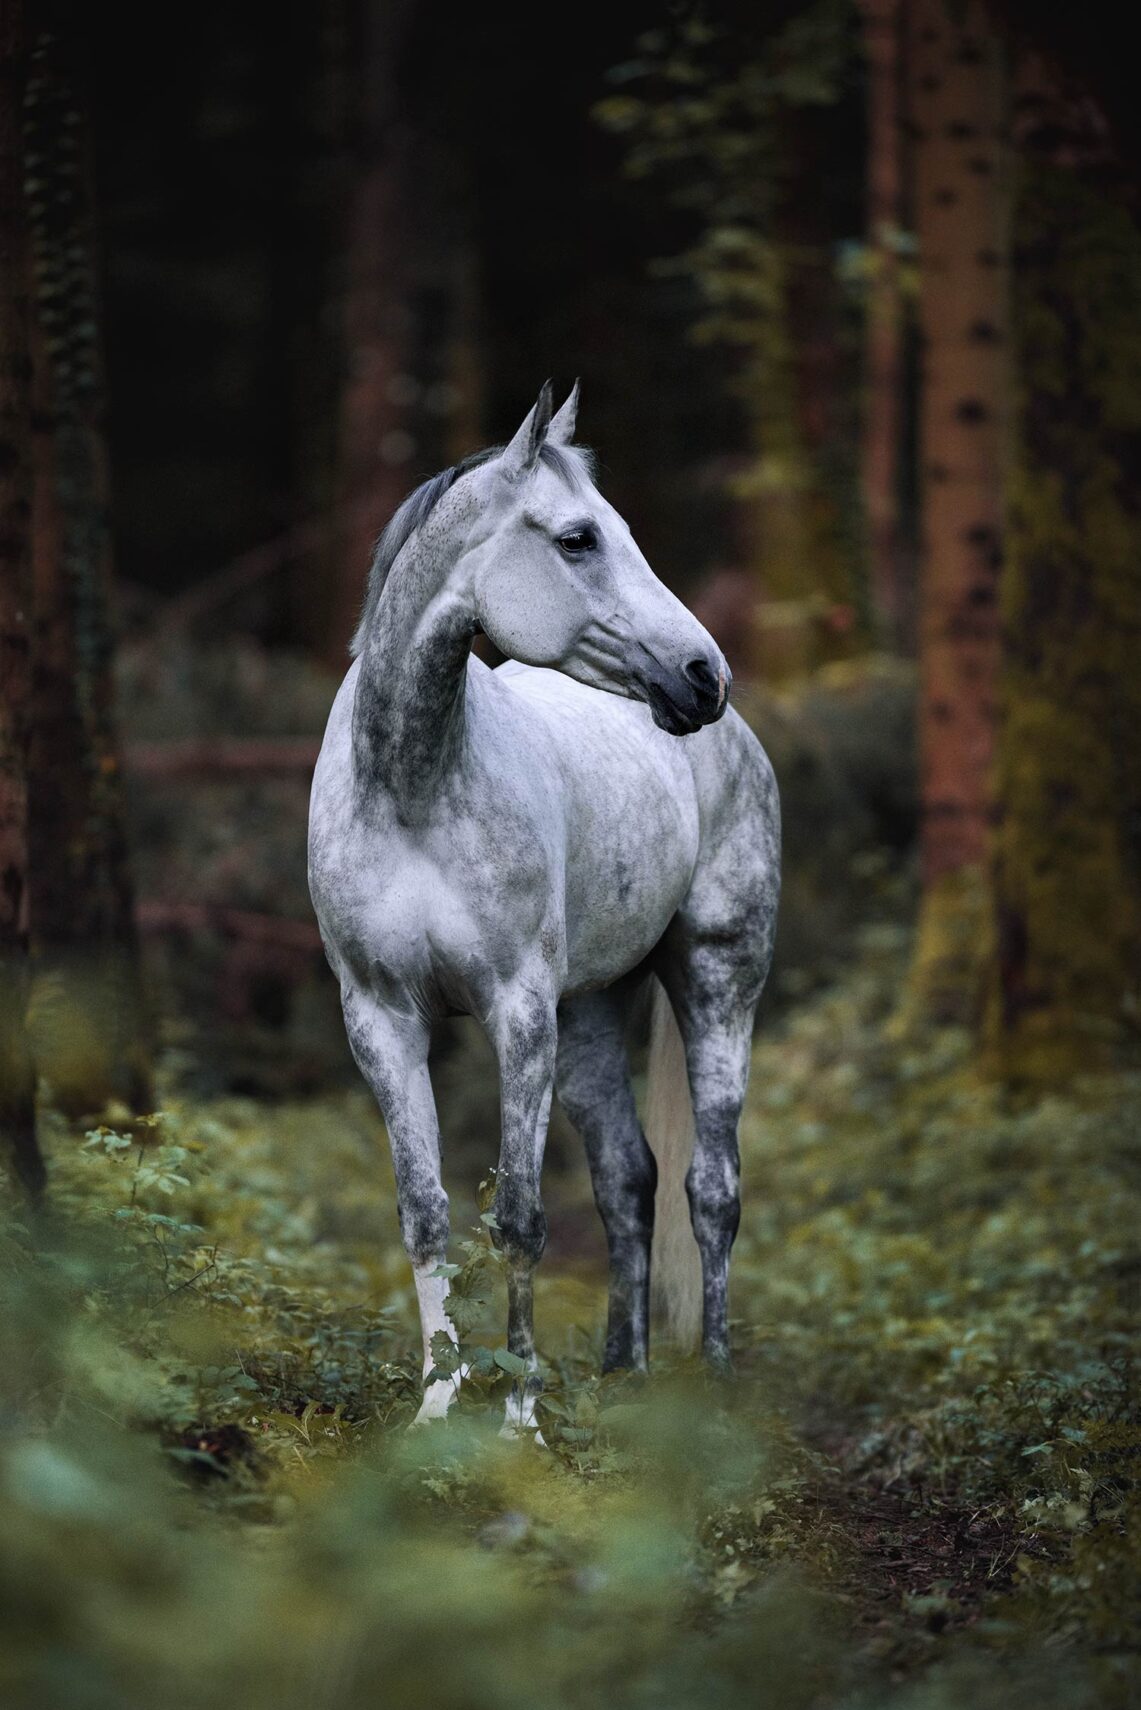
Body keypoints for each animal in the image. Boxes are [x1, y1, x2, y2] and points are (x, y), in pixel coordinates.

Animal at [308, 382, 780, 1430]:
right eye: (576, 538)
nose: (704, 677)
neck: (411, 788)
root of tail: (737, 738)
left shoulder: (517, 1012)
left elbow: (519, 1219)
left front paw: (519, 1418)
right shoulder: (381, 1020)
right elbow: (425, 1213)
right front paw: (436, 1406)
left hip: (717, 978)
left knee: (712, 1189)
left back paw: (716, 1391)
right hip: (593, 1010)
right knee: (628, 1180)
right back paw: (622, 1376)